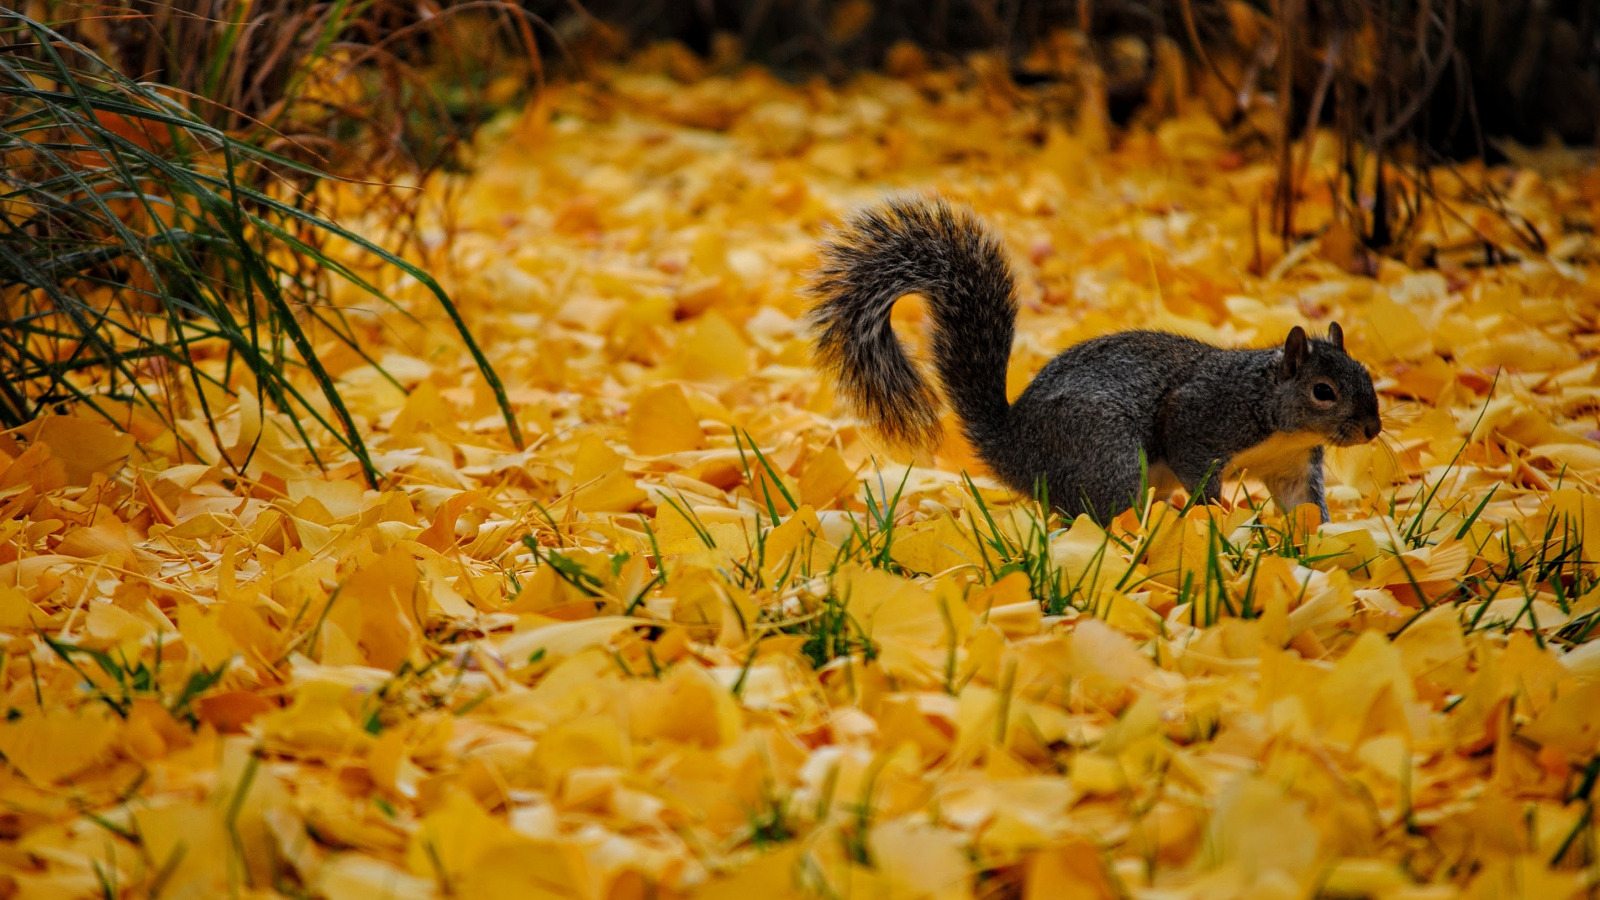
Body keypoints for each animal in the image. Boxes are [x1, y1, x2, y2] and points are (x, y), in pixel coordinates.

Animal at [806, 194, 1382, 518]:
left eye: (1367, 375)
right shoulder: (1203, 416)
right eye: (1323, 391)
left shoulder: (1290, 464)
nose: (1373, 430)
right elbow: (1197, 467)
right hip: (1107, 455)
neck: (1273, 409)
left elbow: (1302, 505)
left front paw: (1316, 545)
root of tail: (1017, 450)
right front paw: (1215, 521)